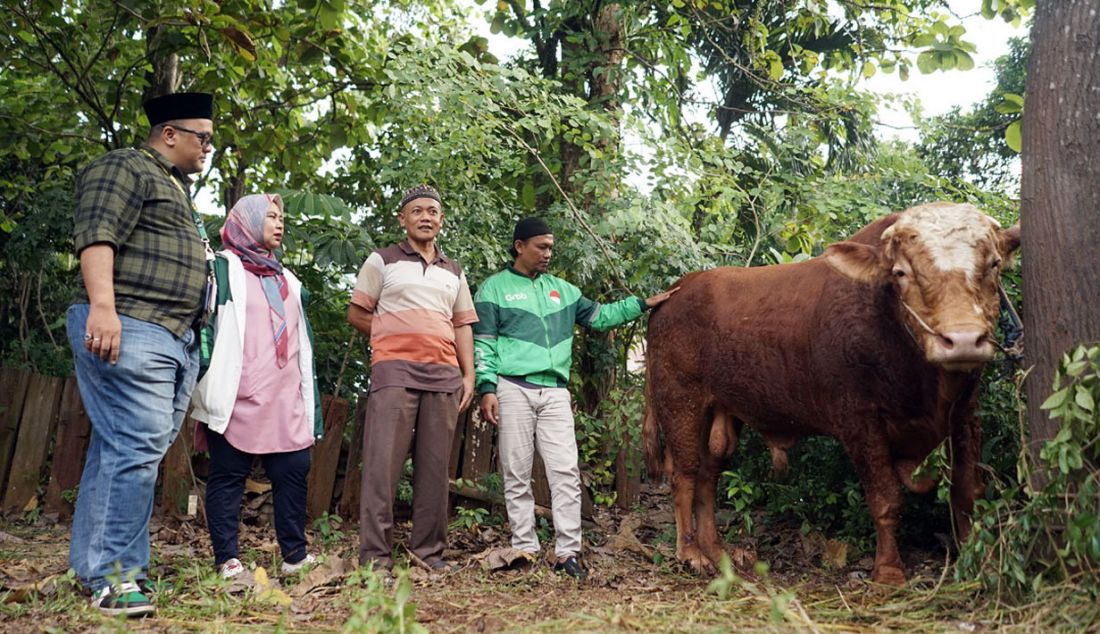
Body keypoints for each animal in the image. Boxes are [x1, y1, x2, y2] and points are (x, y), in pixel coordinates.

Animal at [642, 202, 1020, 585]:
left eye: (994, 264)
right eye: (901, 272)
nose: (963, 340)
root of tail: (674, 293)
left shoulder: (965, 414)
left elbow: (968, 490)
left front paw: (980, 563)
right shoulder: (859, 421)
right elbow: (886, 499)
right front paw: (888, 571)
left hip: (722, 413)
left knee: (708, 476)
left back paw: (716, 552)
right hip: (680, 403)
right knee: (685, 475)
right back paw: (690, 553)